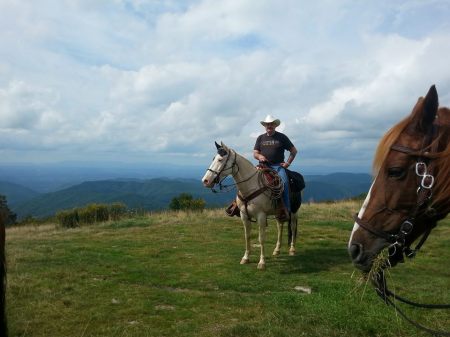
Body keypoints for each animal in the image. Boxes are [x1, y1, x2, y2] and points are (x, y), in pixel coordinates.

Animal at [202, 140, 300, 270]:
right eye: (214, 158)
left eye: (220, 160)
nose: (205, 181)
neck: (250, 187)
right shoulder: (244, 216)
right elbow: (247, 236)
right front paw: (245, 258)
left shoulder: (261, 216)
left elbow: (261, 238)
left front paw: (262, 262)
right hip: (279, 213)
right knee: (280, 226)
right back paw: (277, 250)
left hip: (294, 211)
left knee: (293, 227)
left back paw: (292, 249)